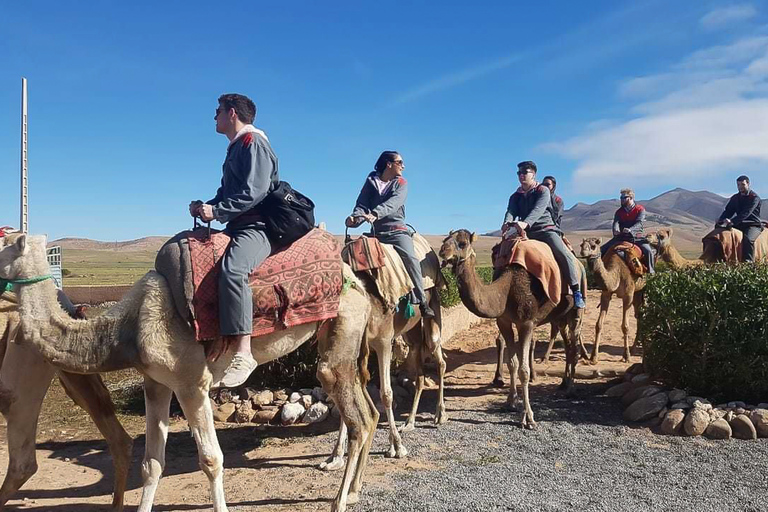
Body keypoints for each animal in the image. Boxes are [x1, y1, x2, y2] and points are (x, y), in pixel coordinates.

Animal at [438, 231, 584, 428]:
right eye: (446, 239)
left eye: (462, 243)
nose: (443, 250)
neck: (505, 291)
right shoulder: (504, 321)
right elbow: (512, 363)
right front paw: (510, 402)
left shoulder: (527, 322)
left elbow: (524, 370)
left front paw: (529, 417)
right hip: (560, 317)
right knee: (568, 346)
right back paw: (563, 383)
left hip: (576, 310)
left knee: (574, 346)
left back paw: (571, 389)